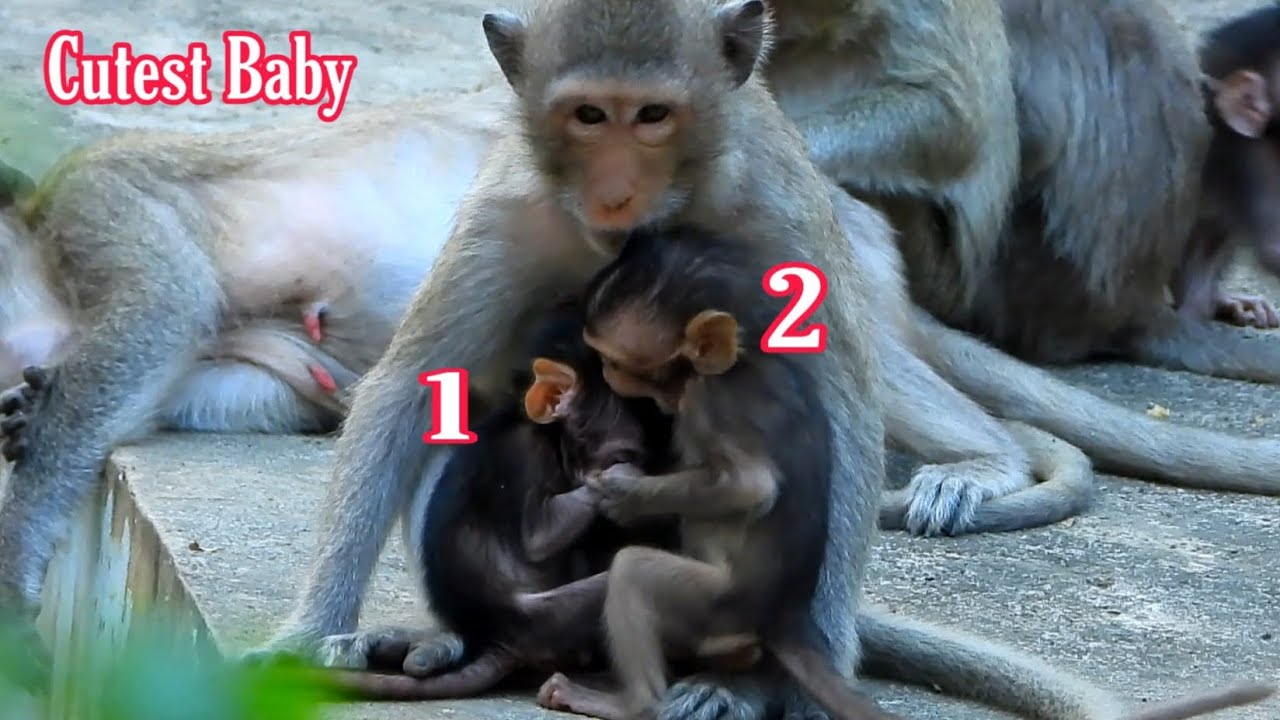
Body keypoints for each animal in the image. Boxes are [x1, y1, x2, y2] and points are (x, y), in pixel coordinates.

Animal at [317, 299, 678, 701]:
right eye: (623, 454)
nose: (637, 465)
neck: (543, 435)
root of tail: (501, 640)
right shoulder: (522, 457)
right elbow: (539, 537)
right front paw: (619, 481)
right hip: (547, 618)